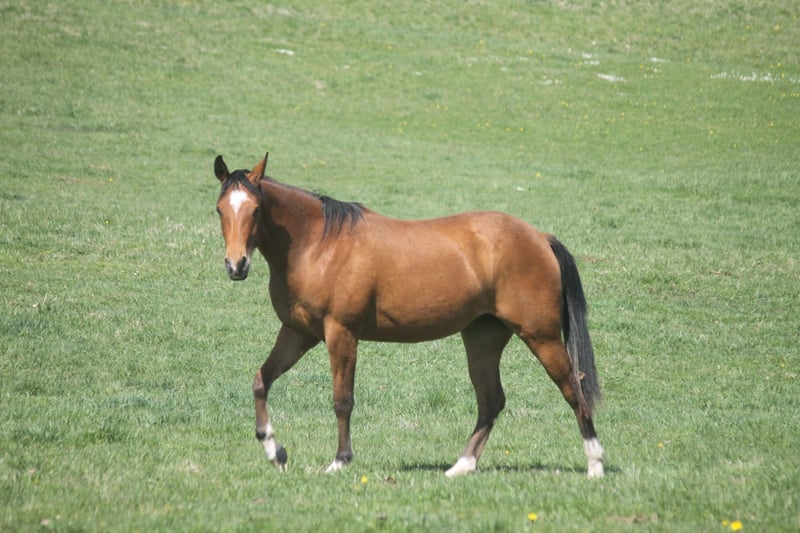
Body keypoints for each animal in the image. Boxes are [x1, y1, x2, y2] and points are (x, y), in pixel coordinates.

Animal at [213, 152, 604, 478]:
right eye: (219, 209)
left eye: (256, 209)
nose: (236, 266)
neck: (318, 244)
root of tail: (539, 237)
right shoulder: (298, 333)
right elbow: (261, 381)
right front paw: (275, 451)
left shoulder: (341, 333)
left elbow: (342, 400)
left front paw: (340, 460)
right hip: (483, 338)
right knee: (491, 401)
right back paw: (461, 466)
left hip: (542, 335)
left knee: (574, 390)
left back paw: (595, 464)